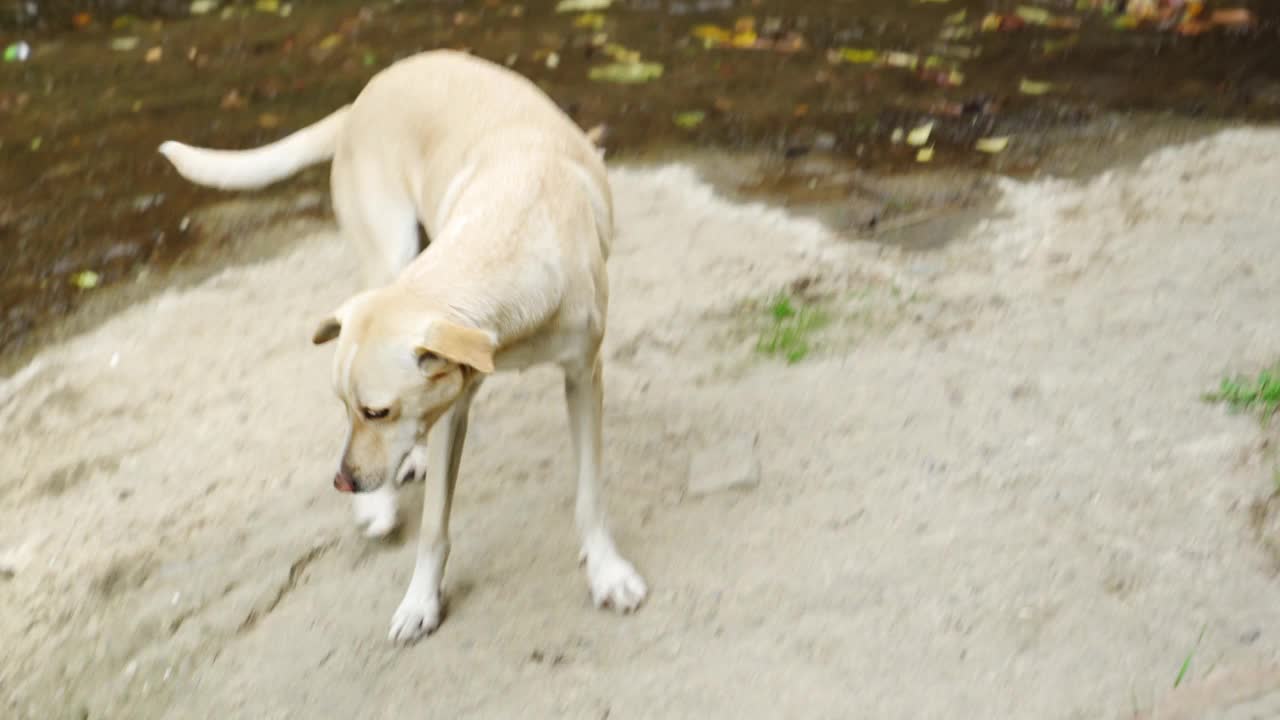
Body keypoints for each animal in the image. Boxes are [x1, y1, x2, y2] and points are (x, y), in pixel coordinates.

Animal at [157, 51, 650, 645]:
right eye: (348, 407)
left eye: (377, 411)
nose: (342, 483)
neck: (508, 231)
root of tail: (365, 95)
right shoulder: (454, 405)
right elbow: (435, 526)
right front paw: (420, 601)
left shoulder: (582, 377)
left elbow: (589, 496)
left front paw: (606, 572)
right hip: (390, 251)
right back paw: (380, 502)